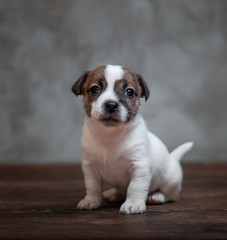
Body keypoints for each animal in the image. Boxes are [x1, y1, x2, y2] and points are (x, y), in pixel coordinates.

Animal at [72, 64, 192, 215]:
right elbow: (92, 186)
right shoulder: (90, 167)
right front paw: (91, 200)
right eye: (95, 89)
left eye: (129, 92)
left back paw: (157, 196)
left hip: (171, 181)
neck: (110, 135)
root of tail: (173, 158)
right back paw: (114, 193)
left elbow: (135, 187)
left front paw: (133, 204)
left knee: (170, 194)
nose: (111, 104)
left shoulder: (139, 167)